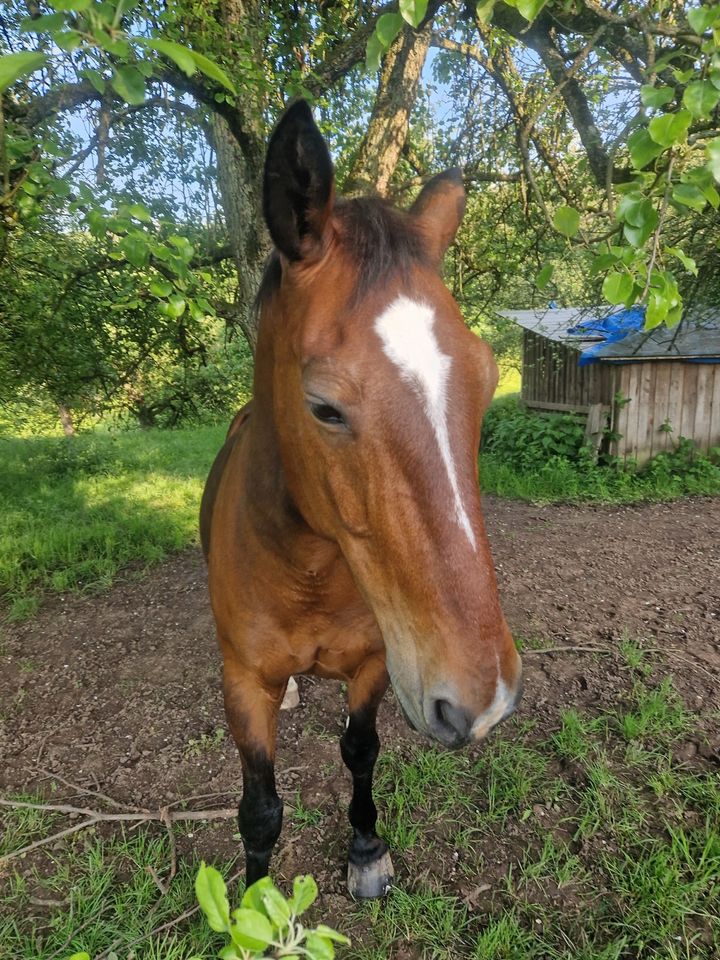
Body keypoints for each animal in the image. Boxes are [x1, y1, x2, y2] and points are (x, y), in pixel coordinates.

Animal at [202, 99, 524, 900]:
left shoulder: (380, 662)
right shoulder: (242, 683)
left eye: (486, 376)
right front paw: (252, 904)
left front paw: (366, 846)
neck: (307, 570)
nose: (483, 697)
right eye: (324, 407)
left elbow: (360, 750)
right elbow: (260, 807)